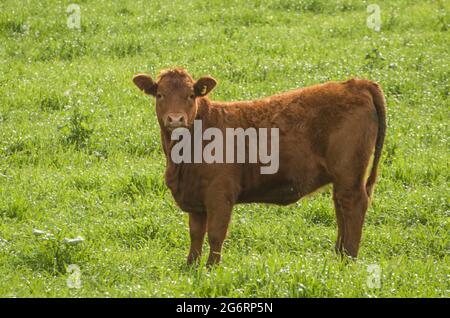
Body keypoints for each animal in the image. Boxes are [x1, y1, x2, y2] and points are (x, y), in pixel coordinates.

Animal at [134, 68, 386, 264]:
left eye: (190, 95)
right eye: (160, 94)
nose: (176, 120)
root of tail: (356, 84)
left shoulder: (220, 194)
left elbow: (215, 234)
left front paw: (211, 269)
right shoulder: (195, 197)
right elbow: (195, 235)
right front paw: (190, 267)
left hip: (350, 174)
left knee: (353, 206)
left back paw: (349, 260)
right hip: (341, 178)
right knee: (341, 208)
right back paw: (339, 256)